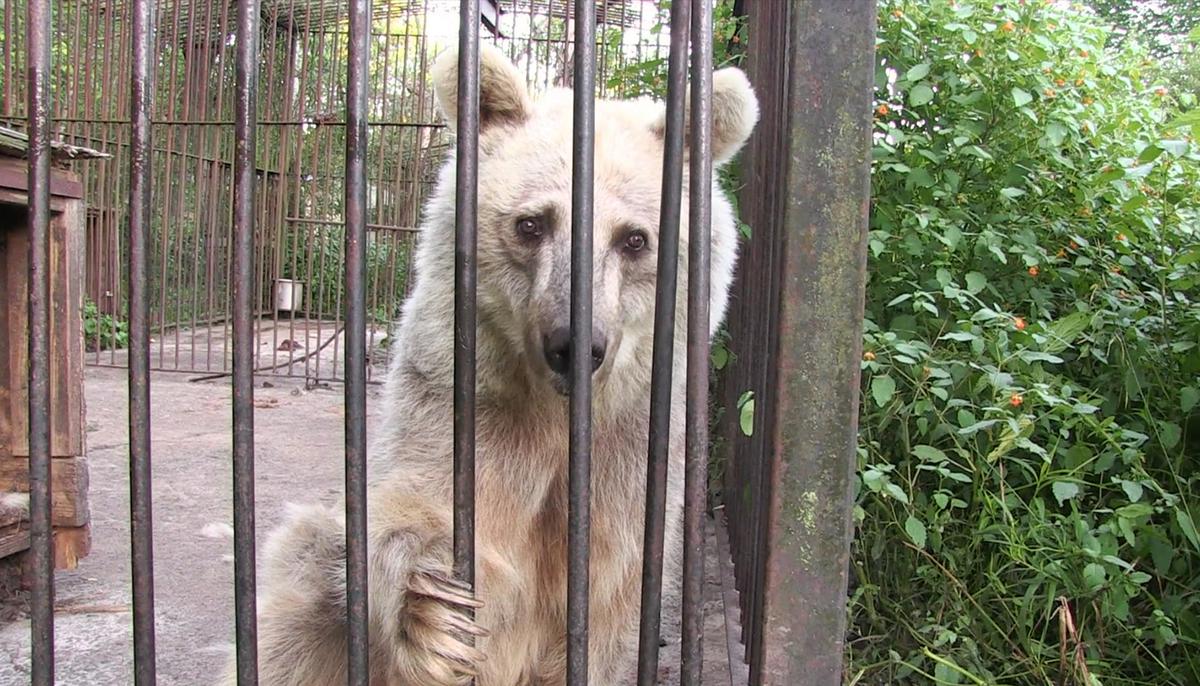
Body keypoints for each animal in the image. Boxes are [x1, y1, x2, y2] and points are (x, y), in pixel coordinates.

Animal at [230, 44, 758, 686]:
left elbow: (609, 598)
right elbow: (415, 508)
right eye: (531, 223)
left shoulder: (633, 448)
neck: (555, 411)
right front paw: (434, 612)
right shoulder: (466, 402)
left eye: (634, 238)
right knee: (296, 606)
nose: (573, 345)